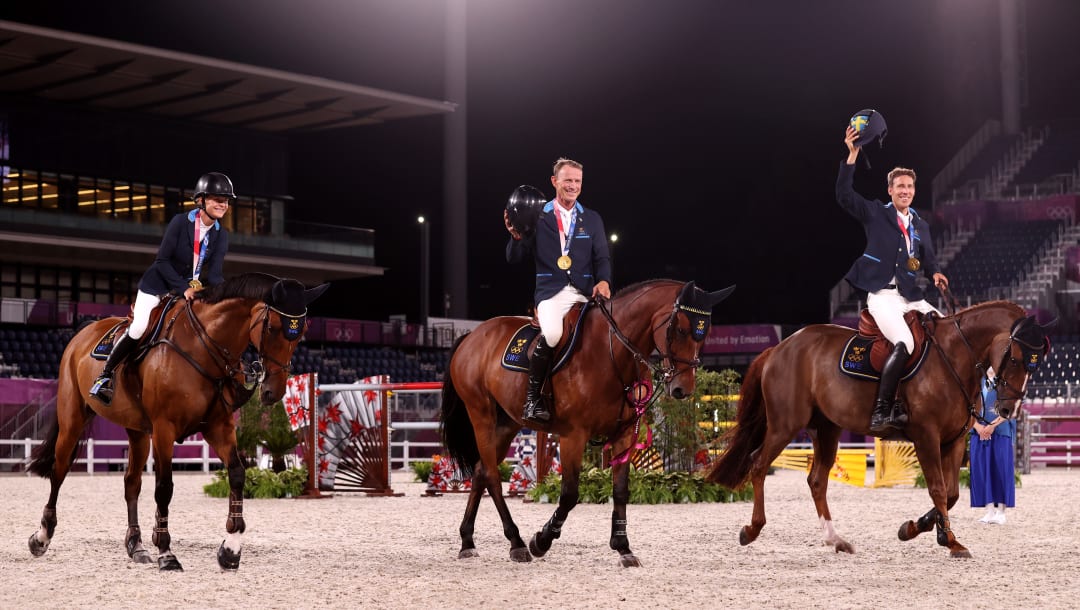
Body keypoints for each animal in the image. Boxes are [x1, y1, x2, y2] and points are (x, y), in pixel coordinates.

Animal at [25, 273, 326, 570]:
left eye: (301, 334)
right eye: (272, 327)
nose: (273, 392)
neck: (203, 347)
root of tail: (85, 330)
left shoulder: (218, 426)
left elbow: (237, 474)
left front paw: (230, 549)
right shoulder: (164, 428)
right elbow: (164, 488)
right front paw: (166, 552)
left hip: (137, 431)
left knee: (131, 482)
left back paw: (136, 546)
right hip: (73, 420)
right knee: (59, 471)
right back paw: (41, 537)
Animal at [438, 280, 734, 565]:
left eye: (704, 333)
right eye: (680, 329)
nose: (683, 389)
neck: (611, 353)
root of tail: (472, 336)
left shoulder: (625, 433)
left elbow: (621, 490)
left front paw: (623, 547)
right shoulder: (574, 435)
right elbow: (569, 494)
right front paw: (541, 541)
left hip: (507, 423)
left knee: (480, 472)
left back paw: (468, 542)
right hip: (482, 415)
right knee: (491, 476)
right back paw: (517, 543)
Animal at [704, 300, 1049, 557]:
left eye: (1037, 364)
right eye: (1015, 359)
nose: (1007, 410)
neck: (953, 357)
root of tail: (780, 347)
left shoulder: (954, 440)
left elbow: (951, 493)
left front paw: (914, 529)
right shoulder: (926, 436)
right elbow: (938, 489)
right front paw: (950, 541)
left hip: (826, 429)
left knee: (817, 480)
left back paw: (835, 539)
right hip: (785, 425)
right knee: (759, 465)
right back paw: (752, 530)